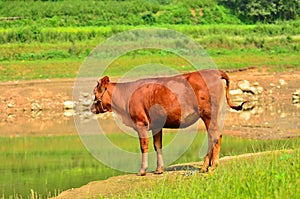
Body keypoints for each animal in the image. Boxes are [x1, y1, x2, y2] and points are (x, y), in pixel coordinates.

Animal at [90, 70, 245, 176]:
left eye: (95, 92)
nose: (91, 108)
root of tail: (214, 71)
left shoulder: (141, 123)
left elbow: (143, 146)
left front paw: (142, 170)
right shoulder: (156, 125)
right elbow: (157, 145)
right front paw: (159, 169)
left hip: (208, 114)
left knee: (215, 135)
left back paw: (212, 166)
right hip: (213, 116)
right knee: (212, 136)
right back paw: (205, 166)